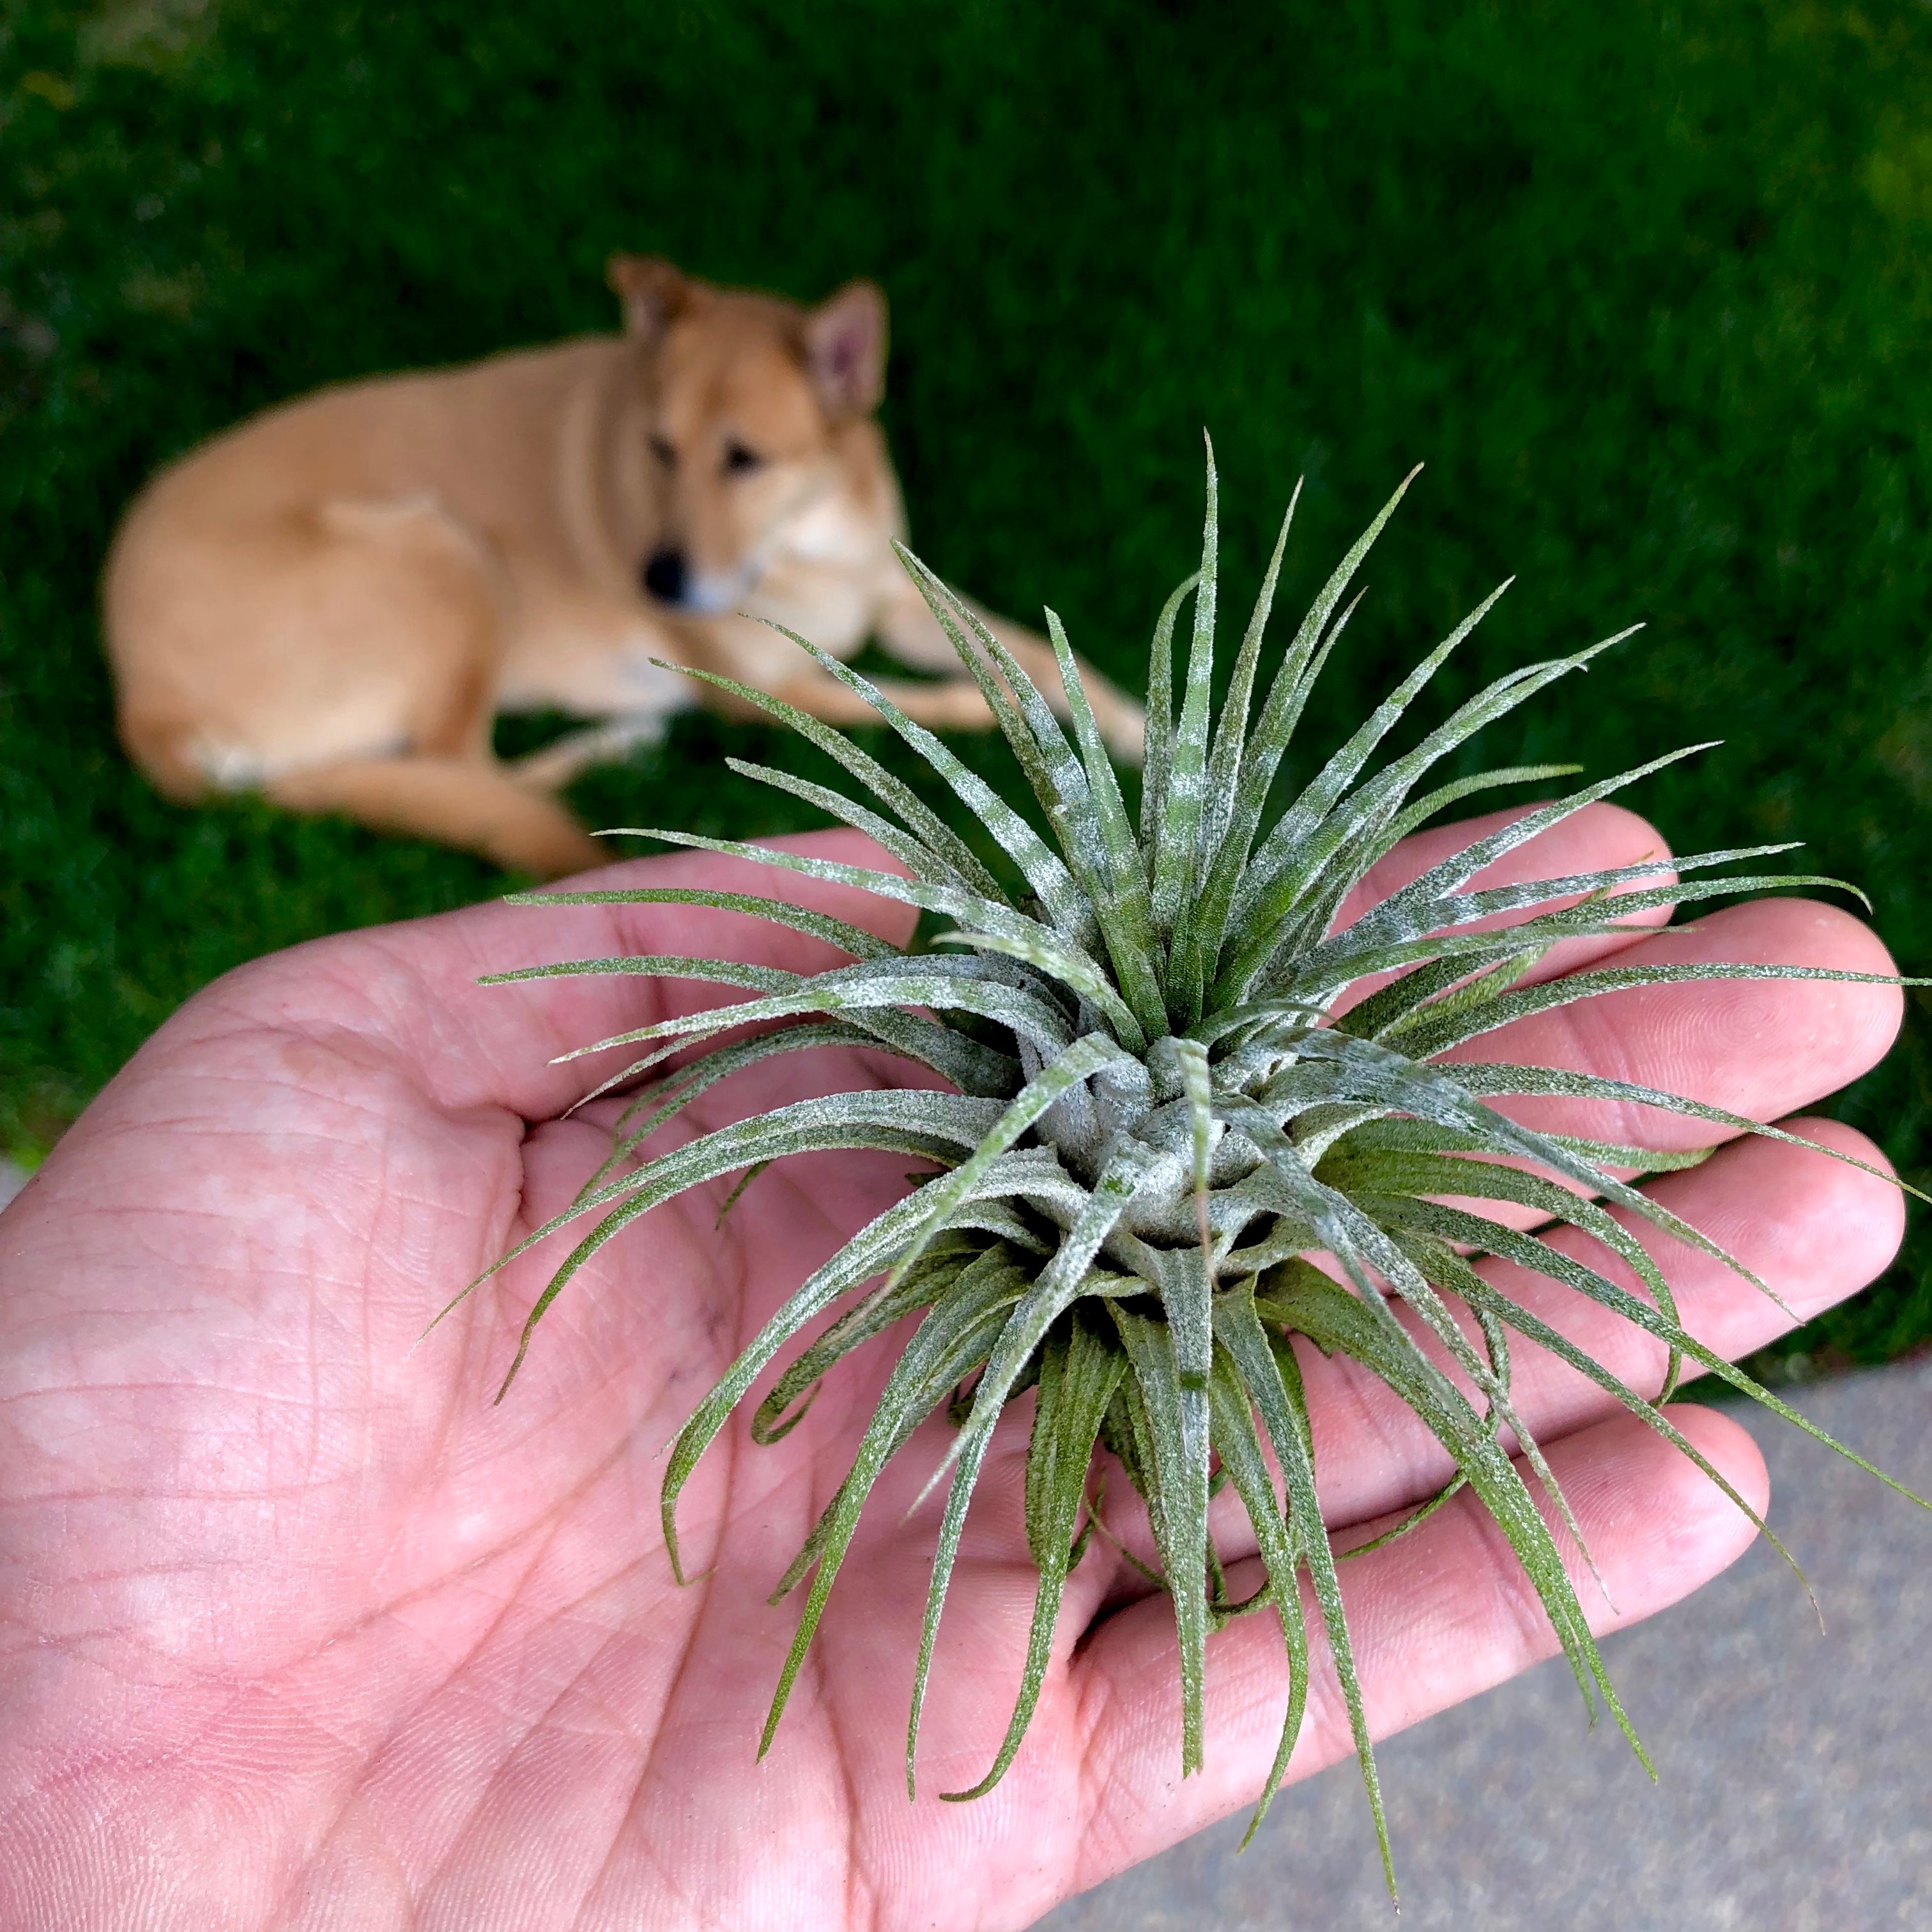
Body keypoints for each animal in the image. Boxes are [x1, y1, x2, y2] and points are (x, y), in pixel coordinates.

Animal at [105, 257, 1144, 877]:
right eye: (658, 448)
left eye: (743, 459)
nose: (659, 584)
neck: (806, 542)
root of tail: (138, 697)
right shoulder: (767, 692)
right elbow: (950, 703)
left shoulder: (898, 595)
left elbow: (1034, 657)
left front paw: (1132, 730)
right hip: (442, 550)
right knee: (458, 765)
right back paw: (618, 745)